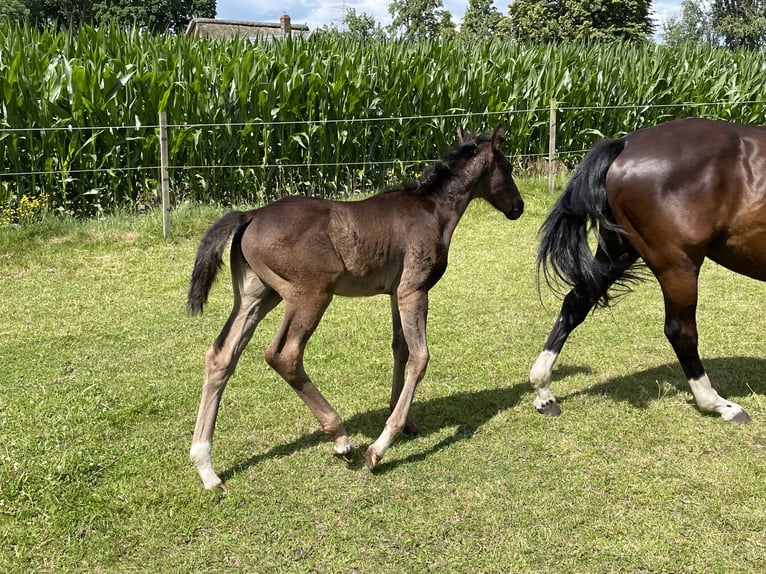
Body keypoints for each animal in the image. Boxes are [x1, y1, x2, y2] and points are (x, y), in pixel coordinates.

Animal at [188, 126, 524, 490]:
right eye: (507, 167)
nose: (518, 207)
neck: (432, 210)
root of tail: (251, 215)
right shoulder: (414, 290)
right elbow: (420, 357)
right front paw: (380, 446)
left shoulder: (394, 293)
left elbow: (400, 349)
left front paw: (403, 419)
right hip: (311, 295)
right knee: (283, 355)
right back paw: (340, 437)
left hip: (256, 297)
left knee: (221, 356)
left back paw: (206, 468)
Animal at [536, 118, 766, 424]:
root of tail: (625, 144)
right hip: (678, 265)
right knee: (680, 331)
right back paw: (719, 405)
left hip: (618, 251)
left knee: (575, 304)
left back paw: (543, 393)